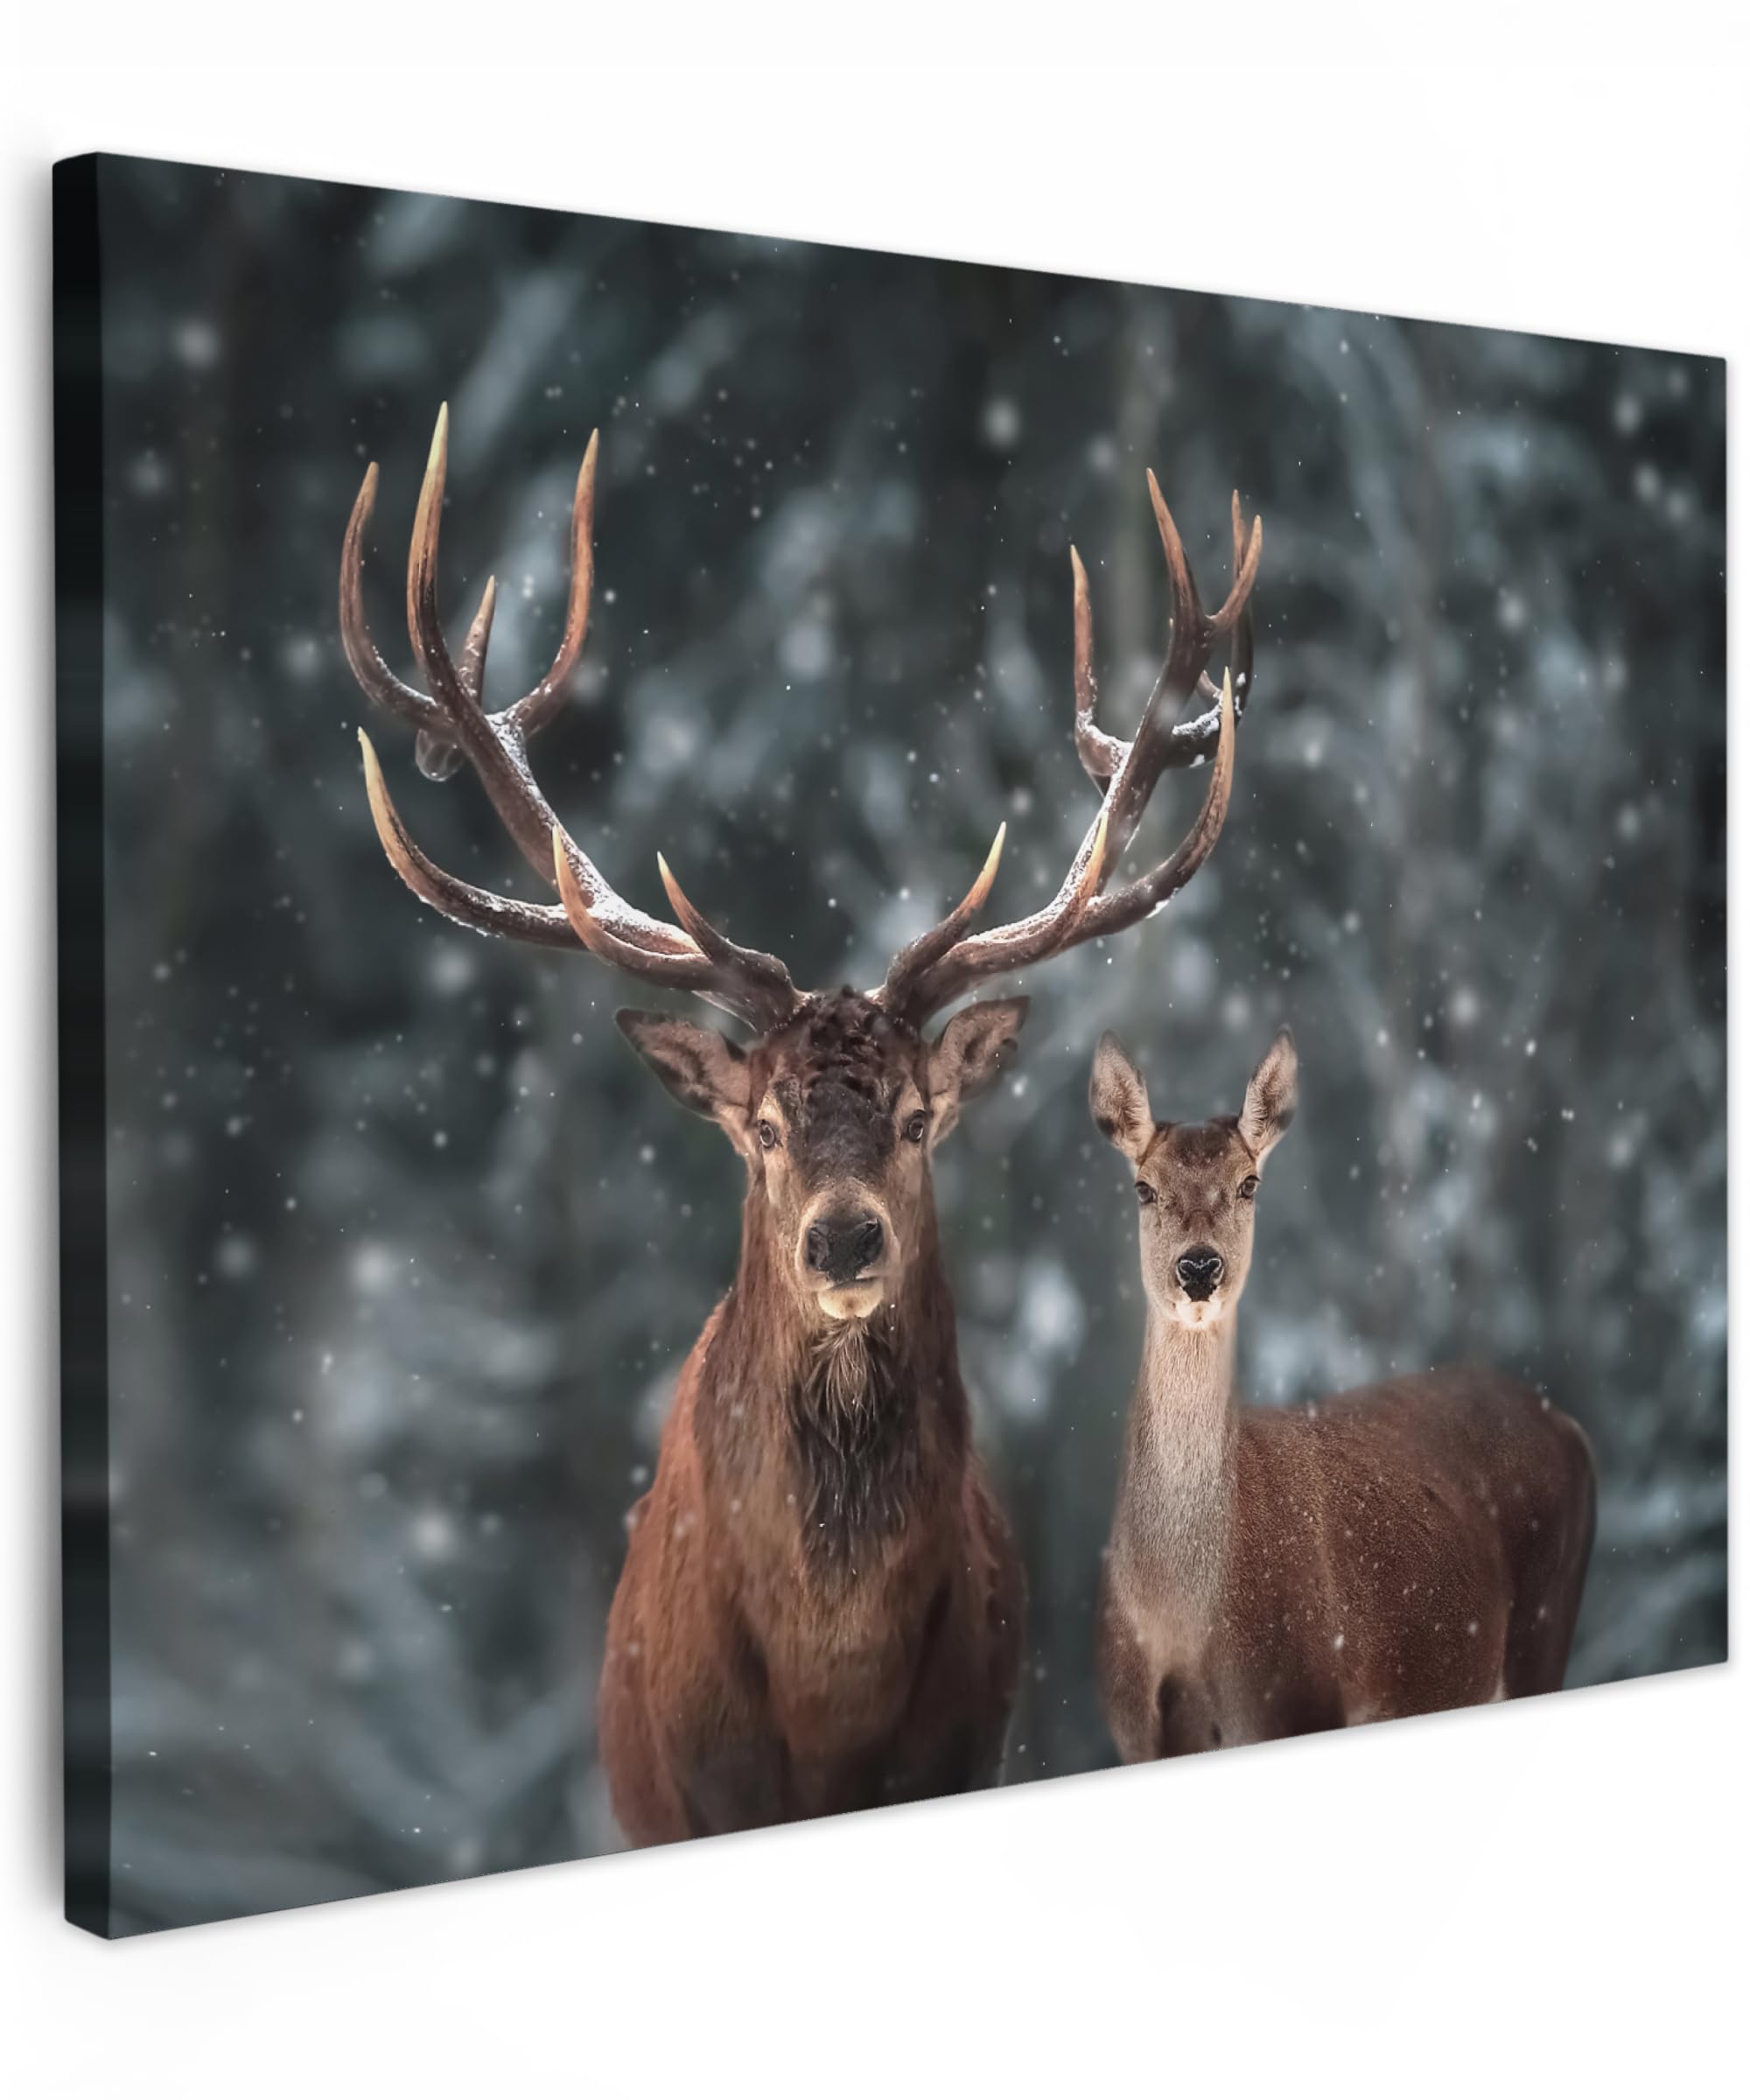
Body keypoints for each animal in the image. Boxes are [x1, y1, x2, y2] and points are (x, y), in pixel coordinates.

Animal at [1088, 1027, 1597, 1762]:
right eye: (1143, 1188)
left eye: (1248, 1183)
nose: (1199, 1266)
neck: (1182, 1616)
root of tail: (1569, 1426)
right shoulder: (1134, 1733)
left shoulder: (1299, 1697)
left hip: (1545, 1628)